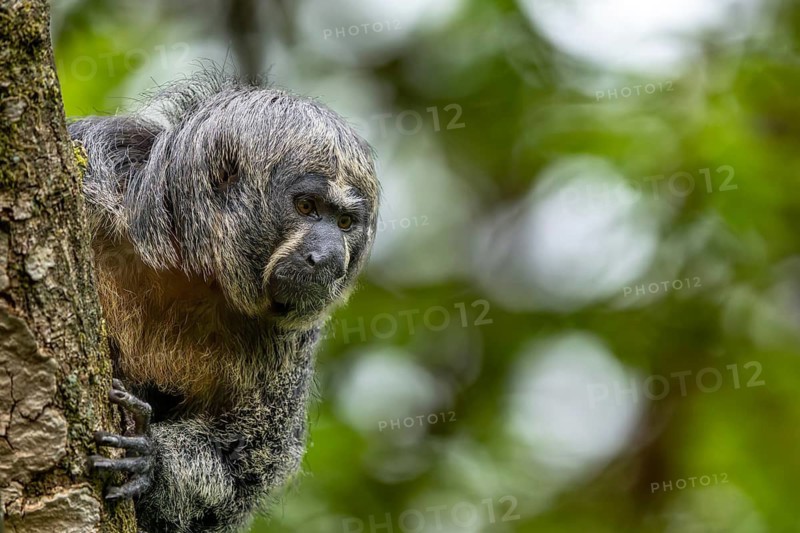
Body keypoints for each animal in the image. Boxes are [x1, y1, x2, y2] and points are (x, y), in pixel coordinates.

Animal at [68, 69, 379, 532]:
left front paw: (153, 463)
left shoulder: (289, 344)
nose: (327, 256)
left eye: (344, 223)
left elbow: (243, 466)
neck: (185, 266)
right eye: (306, 206)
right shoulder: (93, 173)